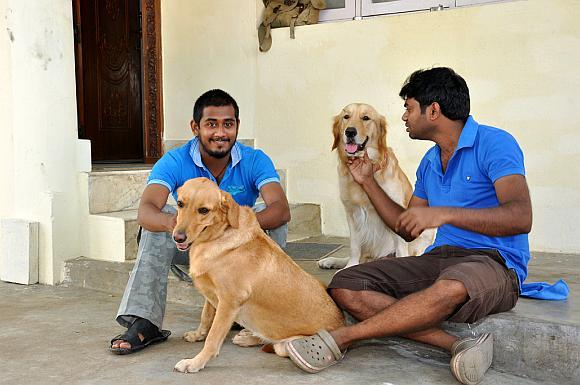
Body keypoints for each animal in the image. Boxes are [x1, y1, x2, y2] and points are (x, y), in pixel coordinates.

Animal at [172, 178, 344, 372]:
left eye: (203, 210)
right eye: (180, 204)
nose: (178, 237)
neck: (221, 234)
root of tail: (343, 322)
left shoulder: (229, 300)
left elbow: (213, 338)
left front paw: (195, 362)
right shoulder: (211, 294)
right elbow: (205, 317)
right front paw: (197, 335)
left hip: (285, 345)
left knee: (274, 343)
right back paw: (247, 335)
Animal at [318, 103, 436, 268]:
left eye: (366, 118)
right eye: (346, 117)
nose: (350, 131)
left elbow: (401, 248)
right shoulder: (352, 213)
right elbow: (354, 247)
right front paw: (350, 266)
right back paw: (331, 261)